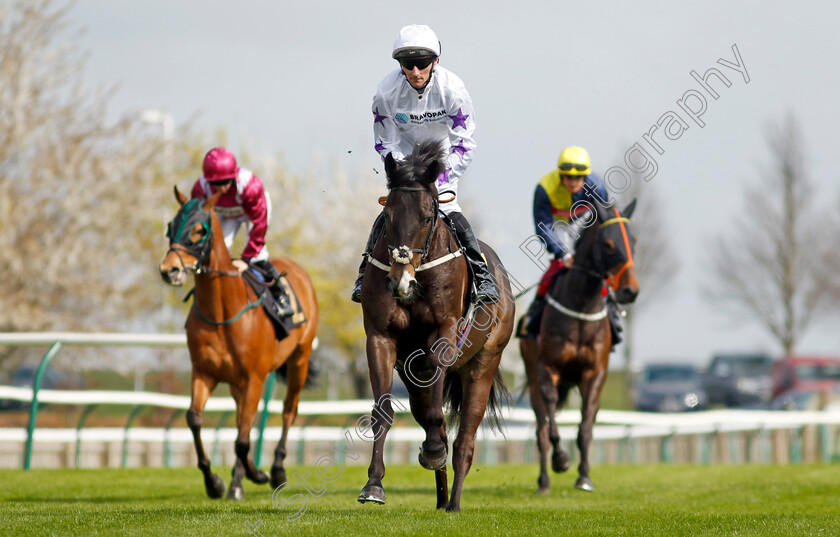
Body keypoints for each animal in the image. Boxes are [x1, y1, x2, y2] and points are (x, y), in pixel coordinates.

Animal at [158, 186, 318, 500]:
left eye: (199, 230)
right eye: (170, 227)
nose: (168, 270)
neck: (221, 311)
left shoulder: (254, 377)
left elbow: (243, 439)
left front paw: (255, 476)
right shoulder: (204, 372)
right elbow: (195, 419)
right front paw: (215, 482)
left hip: (300, 359)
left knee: (288, 412)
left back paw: (276, 471)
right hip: (236, 383)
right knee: (242, 420)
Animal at [358, 140, 516, 512]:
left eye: (428, 218)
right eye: (387, 216)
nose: (399, 282)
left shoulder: (443, 333)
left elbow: (437, 415)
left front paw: (431, 452)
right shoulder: (381, 338)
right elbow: (383, 411)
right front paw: (374, 485)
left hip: (483, 365)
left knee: (464, 439)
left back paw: (453, 502)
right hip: (411, 375)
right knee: (438, 424)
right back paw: (441, 496)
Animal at [520, 198, 636, 494]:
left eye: (634, 240)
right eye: (609, 244)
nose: (631, 291)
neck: (582, 306)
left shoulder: (595, 373)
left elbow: (586, 428)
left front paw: (584, 477)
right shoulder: (546, 369)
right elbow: (550, 423)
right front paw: (561, 460)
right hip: (532, 375)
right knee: (541, 428)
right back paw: (544, 482)